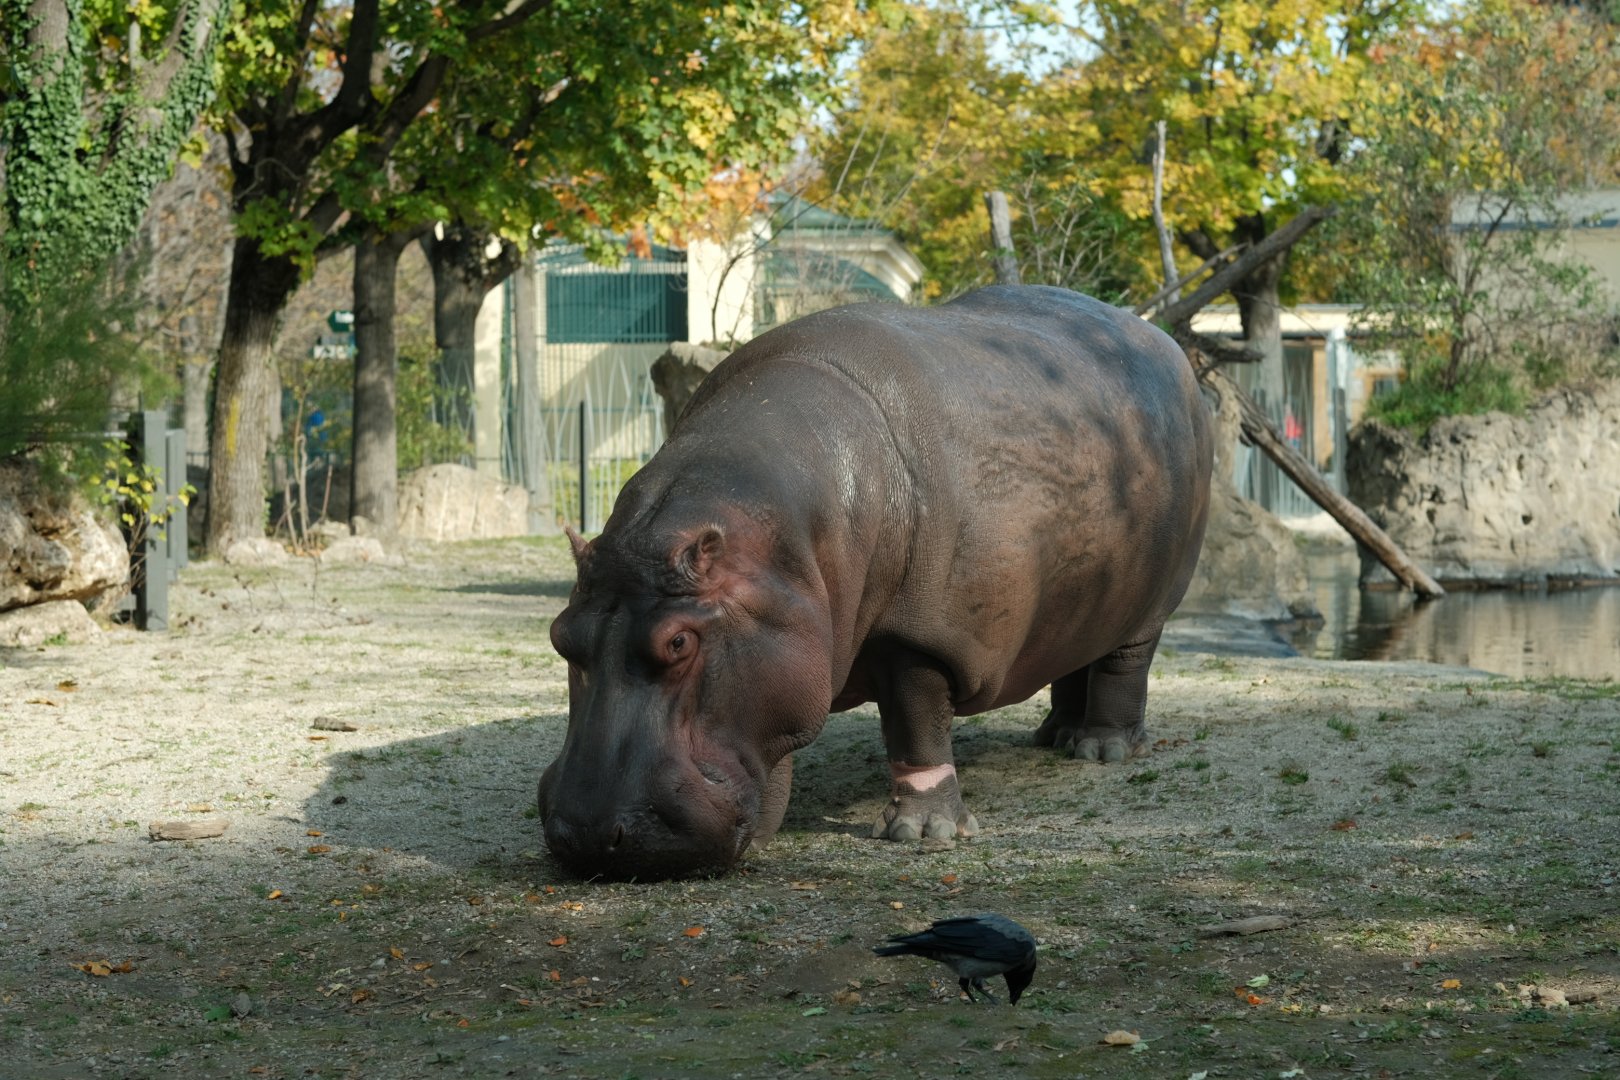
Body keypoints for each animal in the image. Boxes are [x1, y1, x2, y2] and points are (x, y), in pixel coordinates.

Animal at [539, 285, 1212, 879]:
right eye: (559, 636)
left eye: (679, 642)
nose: (590, 836)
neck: (789, 543)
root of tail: (1166, 344)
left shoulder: (917, 635)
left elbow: (915, 721)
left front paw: (924, 834)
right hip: (1080, 597)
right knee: (1073, 656)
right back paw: (1056, 737)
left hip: (1153, 600)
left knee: (1125, 664)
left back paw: (1103, 751)